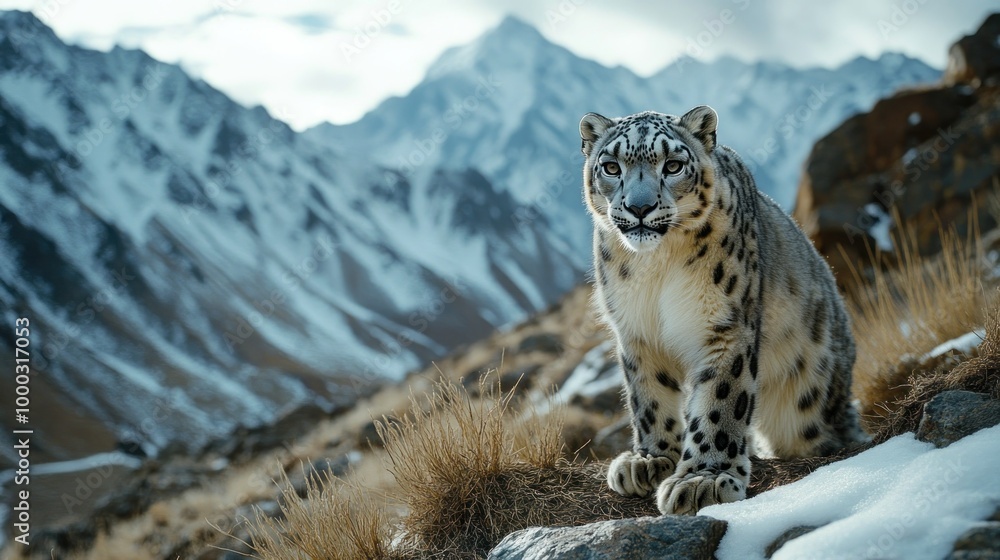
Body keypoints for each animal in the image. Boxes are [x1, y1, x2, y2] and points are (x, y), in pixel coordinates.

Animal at [580, 107, 868, 516]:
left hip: (809, 404)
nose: (639, 208)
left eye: (673, 165)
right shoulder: (636, 330)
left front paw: (705, 478)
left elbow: (720, 400)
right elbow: (647, 395)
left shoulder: (725, 325)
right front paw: (650, 459)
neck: (656, 265)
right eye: (611, 167)